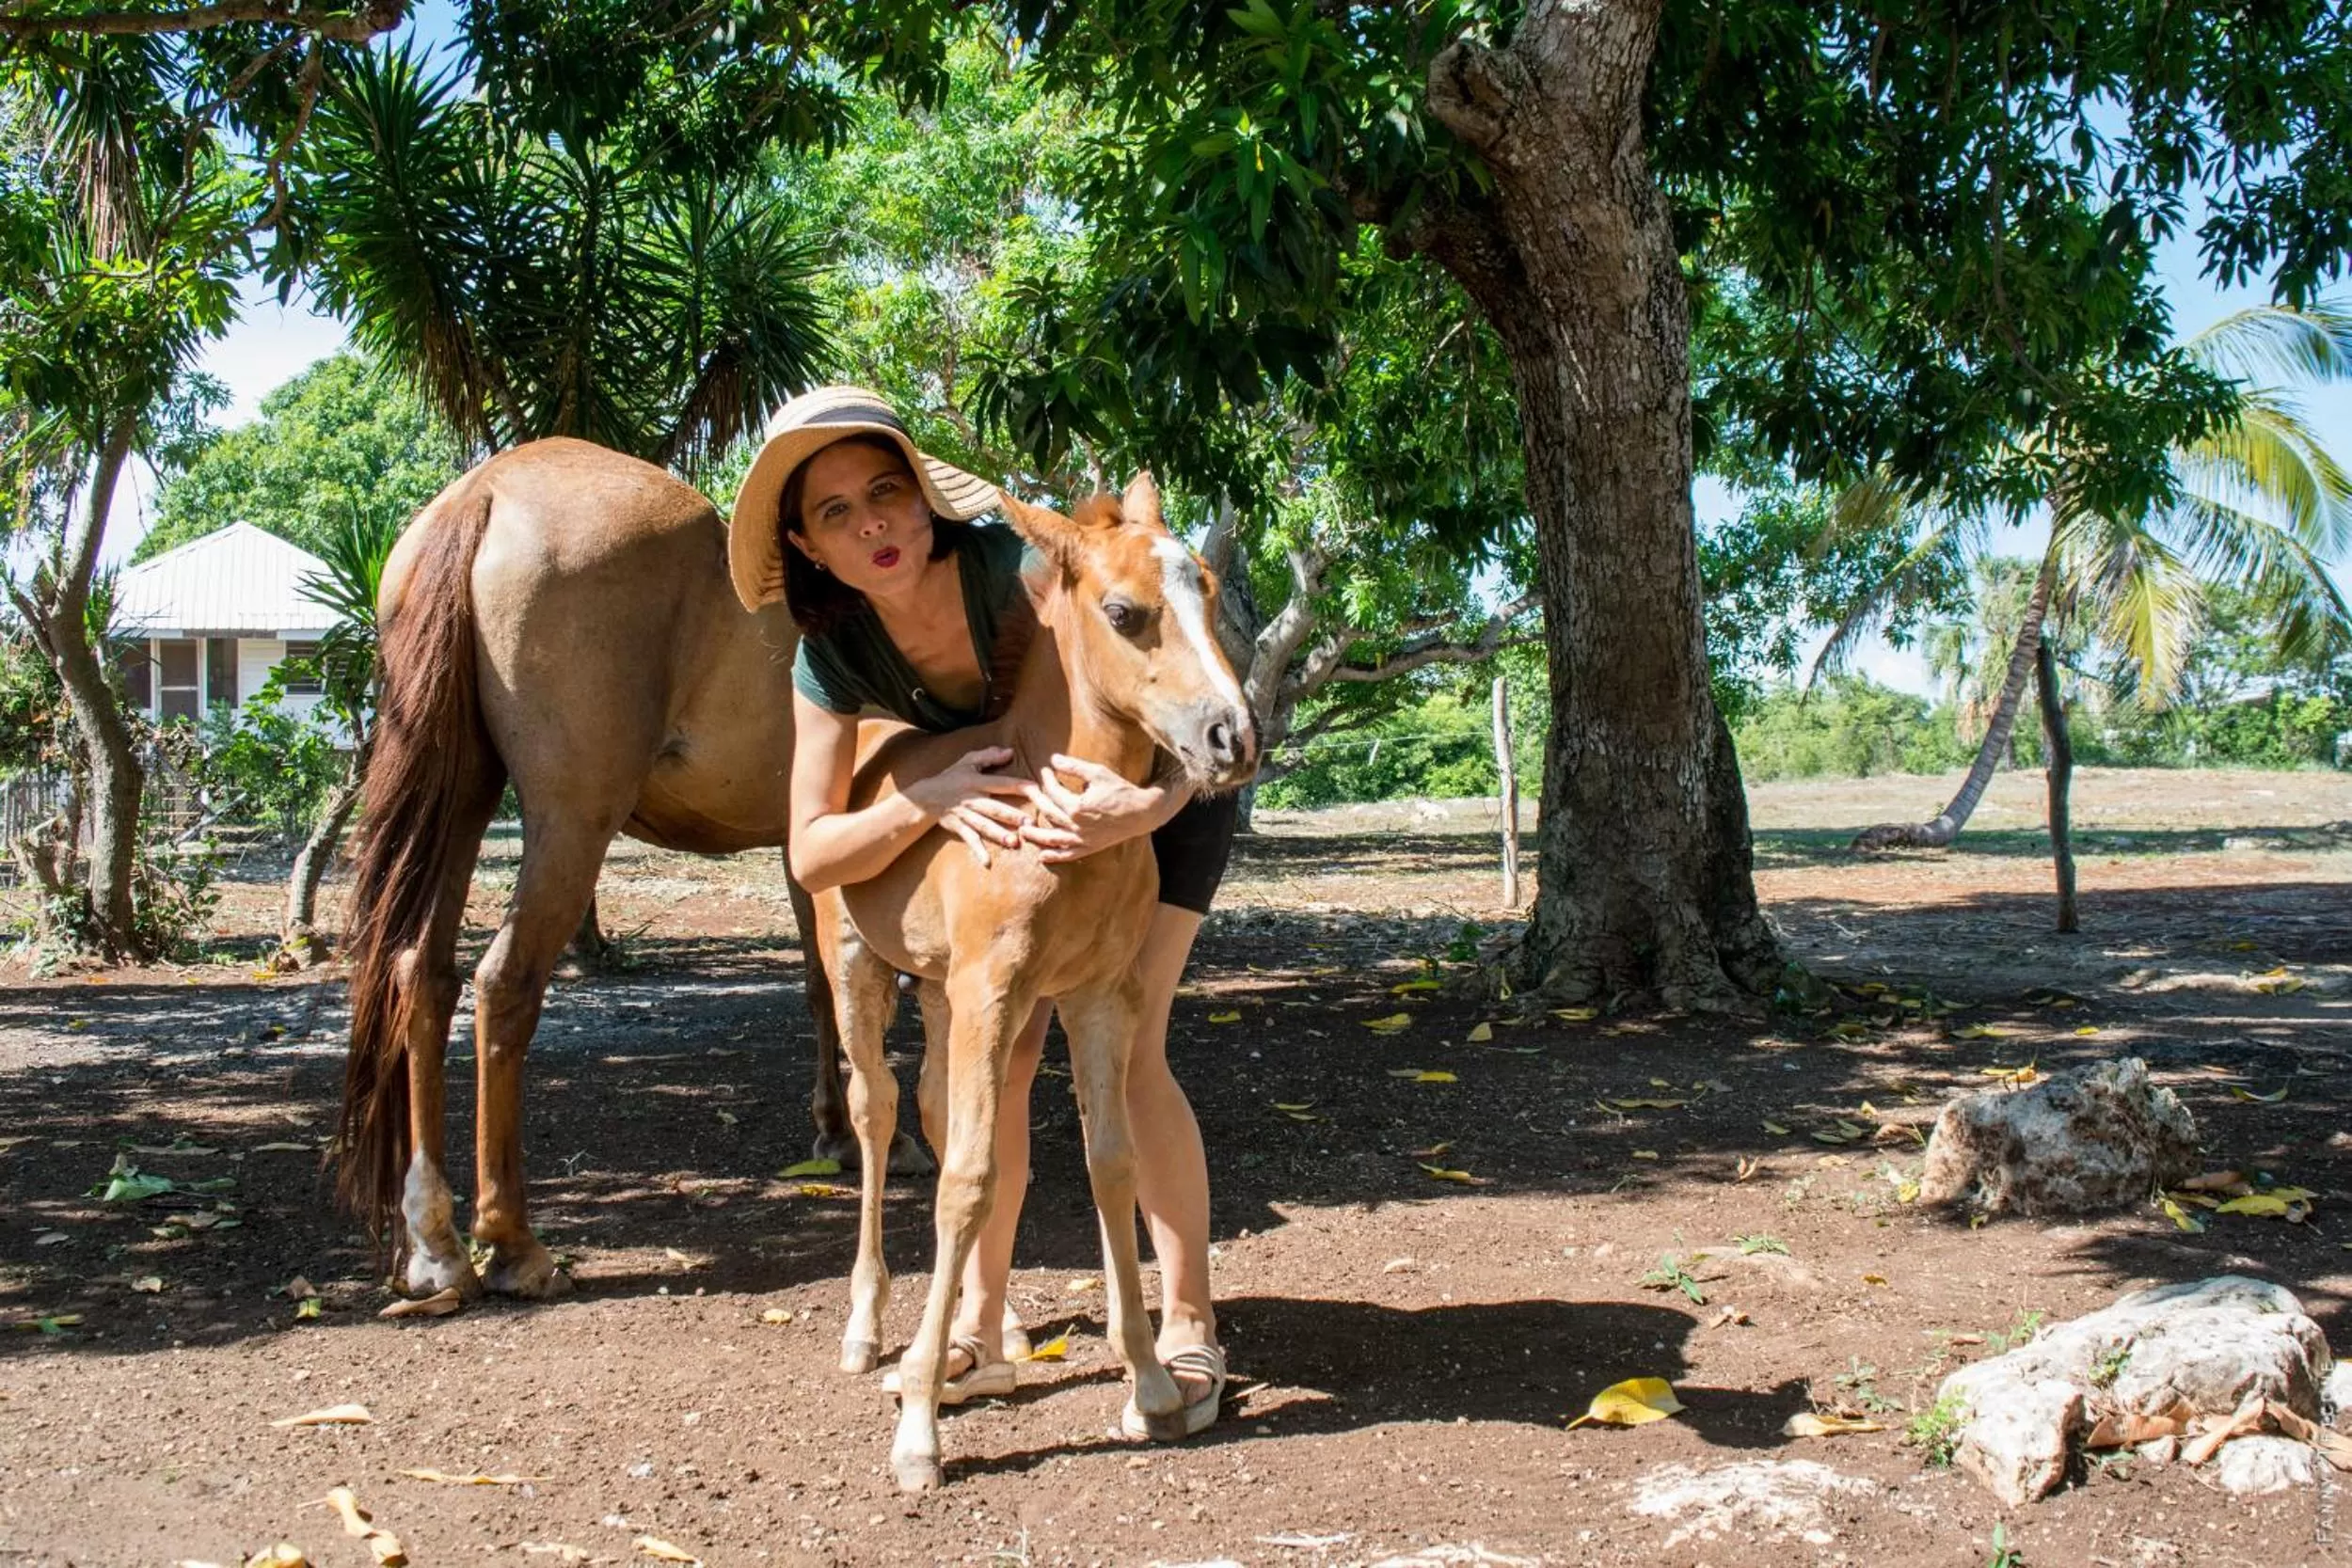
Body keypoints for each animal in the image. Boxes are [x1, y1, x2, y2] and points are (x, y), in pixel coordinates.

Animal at [337, 437, 907, 1299]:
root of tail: (484, 492)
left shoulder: (801, 842)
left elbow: (820, 983)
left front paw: (836, 1133)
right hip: (572, 821)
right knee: (504, 983)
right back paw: (513, 1243)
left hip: (461, 798)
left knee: (422, 975)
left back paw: (435, 1244)